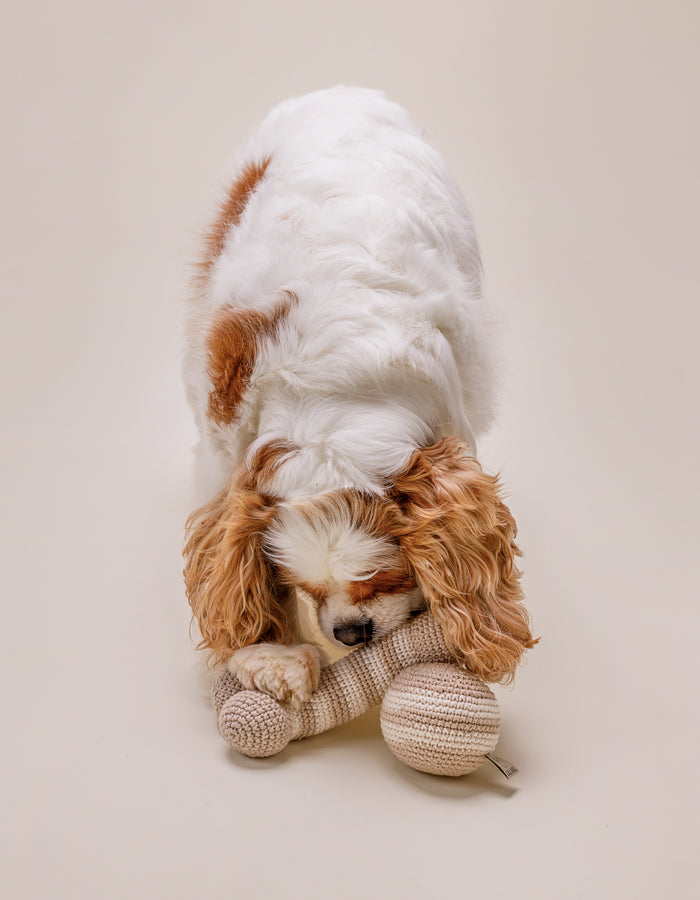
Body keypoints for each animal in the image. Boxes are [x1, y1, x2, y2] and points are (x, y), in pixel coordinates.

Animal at [182, 86, 536, 704]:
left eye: (387, 577)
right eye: (299, 585)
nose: (350, 633)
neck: (329, 403)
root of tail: (339, 92)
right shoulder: (223, 452)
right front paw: (270, 657)